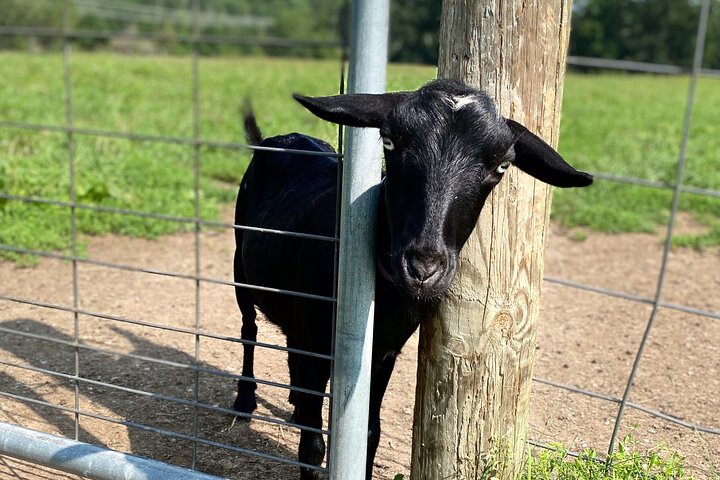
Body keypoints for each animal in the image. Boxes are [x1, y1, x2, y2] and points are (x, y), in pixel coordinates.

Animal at [232, 79, 592, 479]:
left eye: (501, 165)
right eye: (389, 142)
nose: (423, 269)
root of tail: (275, 139)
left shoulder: (383, 351)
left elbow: (369, 432)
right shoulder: (317, 339)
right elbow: (312, 445)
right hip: (240, 268)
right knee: (249, 329)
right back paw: (245, 398)